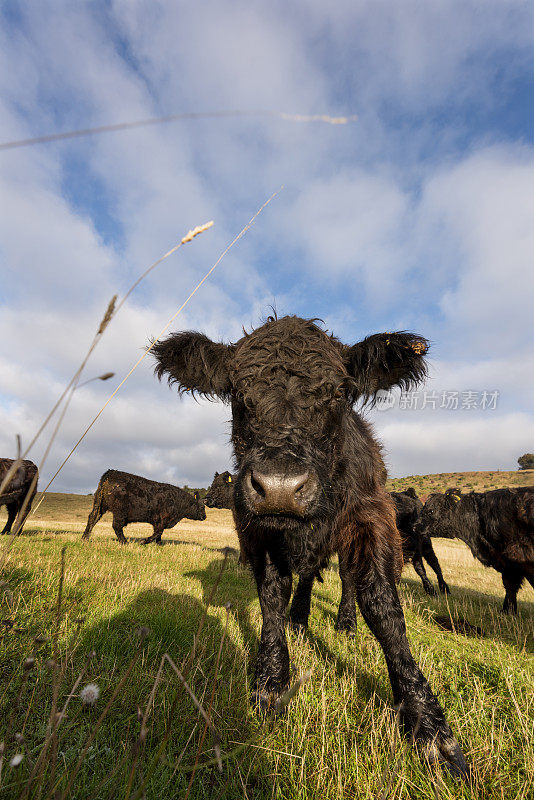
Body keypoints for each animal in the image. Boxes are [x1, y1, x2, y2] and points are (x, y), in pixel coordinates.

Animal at [152, 314, 468, 776]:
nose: (281, 487)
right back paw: (300, 621)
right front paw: (271, 680)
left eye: (338, 393)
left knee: (348, 581)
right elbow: (272, 595)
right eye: (239, 393)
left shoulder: (370, 519)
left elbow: (383, 607)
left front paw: (428, 724)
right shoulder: (257, 529)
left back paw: (343, 621)